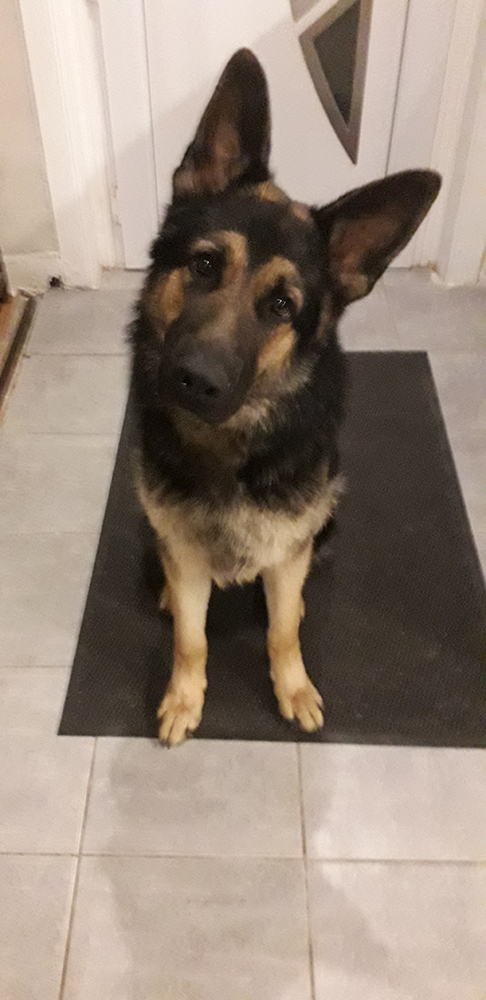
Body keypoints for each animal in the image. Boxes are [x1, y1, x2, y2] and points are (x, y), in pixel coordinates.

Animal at [130, 48, 440, 745]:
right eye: (204, 266)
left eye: (280, 306)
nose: (194, 380)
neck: (230, 445)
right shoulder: (184, 554)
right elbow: (191, 637)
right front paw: (184, 696)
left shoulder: (289, 553)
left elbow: (279, 632)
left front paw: (291, 686)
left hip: (324, 522)